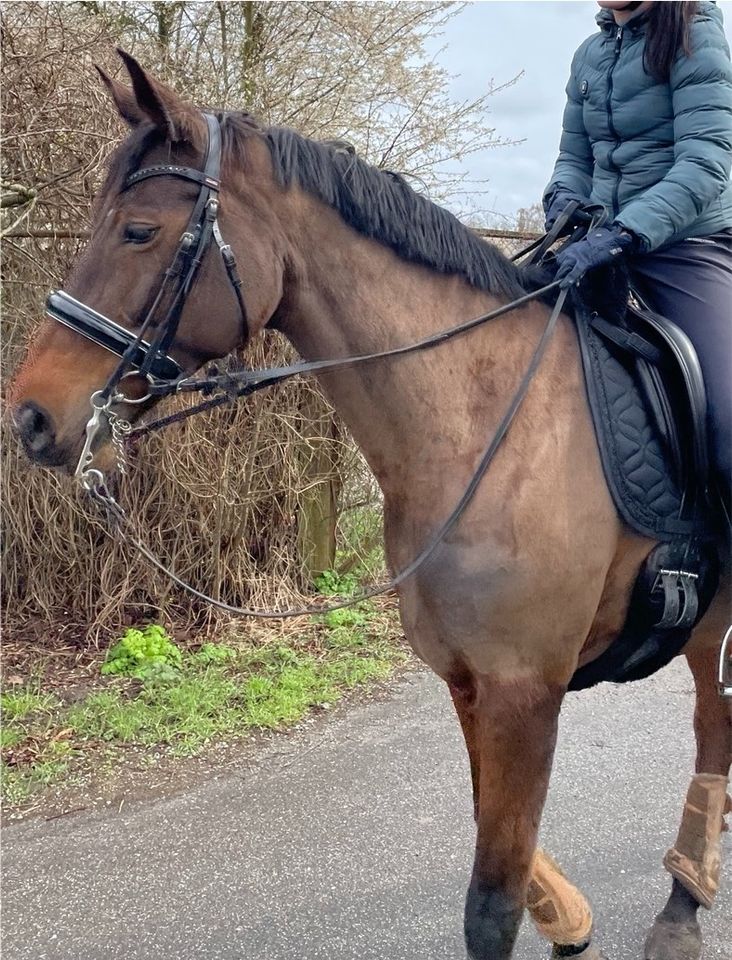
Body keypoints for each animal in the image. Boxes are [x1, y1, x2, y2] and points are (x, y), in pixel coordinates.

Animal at [8, 52, 728, 960]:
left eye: (137, 230)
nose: (31, 418)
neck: (482, 424)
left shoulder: (524, 689)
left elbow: (490, 901)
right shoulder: (468, 681)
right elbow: (497, 832)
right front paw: (567, 911)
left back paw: (682, 907)